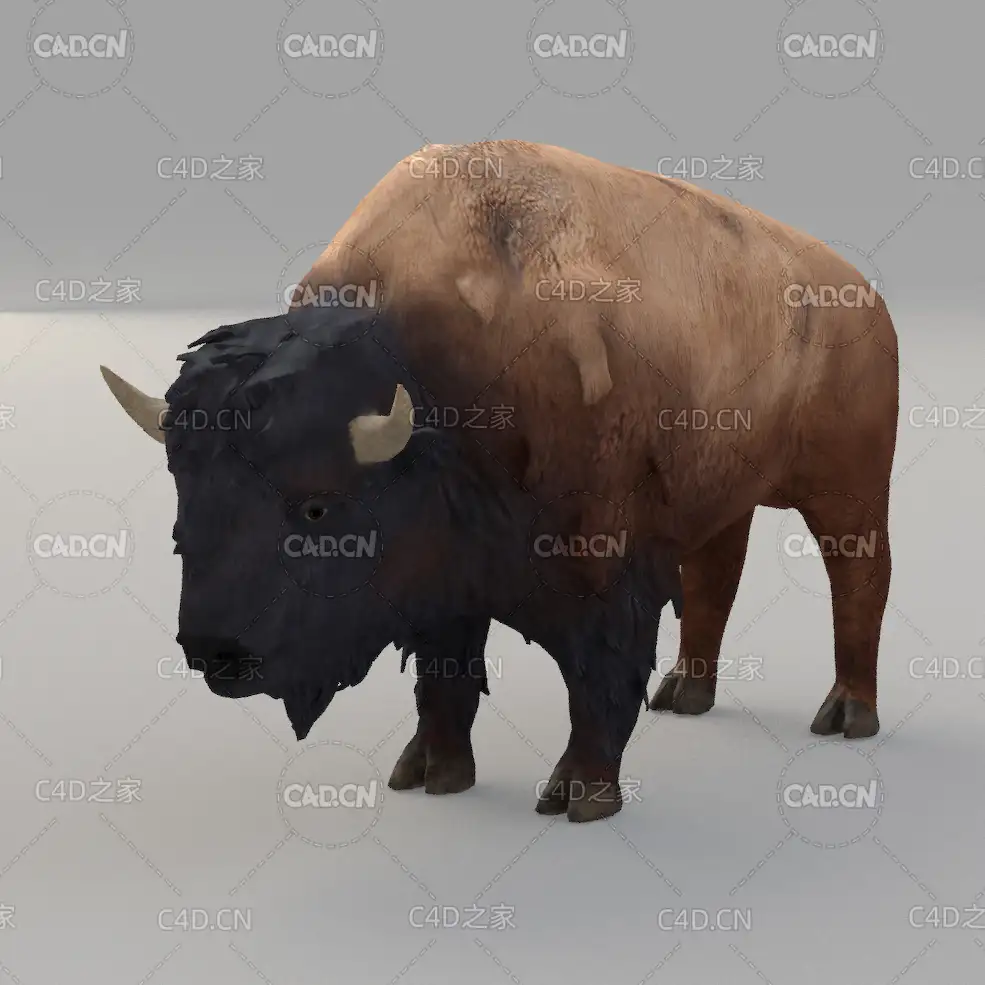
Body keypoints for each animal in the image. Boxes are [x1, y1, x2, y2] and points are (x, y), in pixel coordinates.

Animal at [101, 139, 898, 822]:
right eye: (184, 504)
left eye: (317, 507)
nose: (215, 651)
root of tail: (862, 293)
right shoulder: (447, 580)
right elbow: (445, 677)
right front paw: (430, 774)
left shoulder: (604, 568)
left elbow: (597, 677)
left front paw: (580, 796)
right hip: (725, 495)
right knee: (715, 579)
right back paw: (686, 693)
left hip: (848, 490)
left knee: (860, 580)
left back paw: (847, 715)